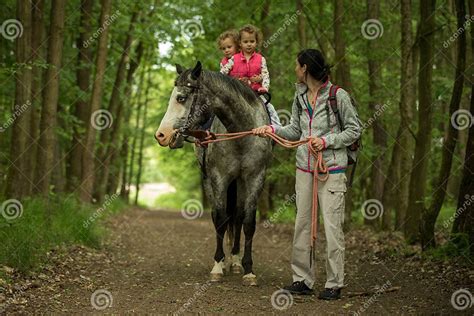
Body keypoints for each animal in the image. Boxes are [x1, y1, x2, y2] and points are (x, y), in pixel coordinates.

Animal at [155, 60, 272, 286]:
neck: (241, 131)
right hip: (211, 182)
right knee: (220, 216)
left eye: (181, 98)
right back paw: (226, 262)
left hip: (240, 183)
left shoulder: (255, 178)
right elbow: (220, 220)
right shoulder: (219, 178)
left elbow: (248, 223)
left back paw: (235, 261)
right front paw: (218, 265)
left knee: (237, 216)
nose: (161, 135)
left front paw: (248, 270)